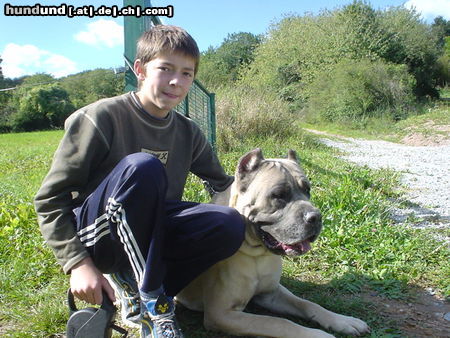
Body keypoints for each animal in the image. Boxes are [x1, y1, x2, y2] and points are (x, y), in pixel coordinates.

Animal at [176, 149, 370, 336]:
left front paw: (343, 321)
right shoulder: (221, 314)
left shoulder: (271, 293)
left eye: (307, 190)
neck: (257, 254)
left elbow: (306, 304)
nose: (316, 217)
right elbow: (278, 323)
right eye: (279, 195)